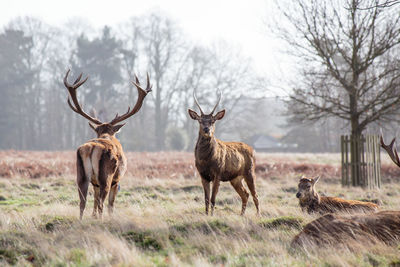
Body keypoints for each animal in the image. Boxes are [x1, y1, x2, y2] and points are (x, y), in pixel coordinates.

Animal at [63, 69, 152, 220]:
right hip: (106, 176)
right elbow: (111, 204)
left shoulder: (95, 183)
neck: (107, 134)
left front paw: (92, 217)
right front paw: (110, 218)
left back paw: (82, 221)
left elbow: (93, 201)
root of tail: (91, 148)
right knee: (102, 203)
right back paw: (102, 220)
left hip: (81, 175)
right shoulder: (117, 180)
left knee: (82, 202)